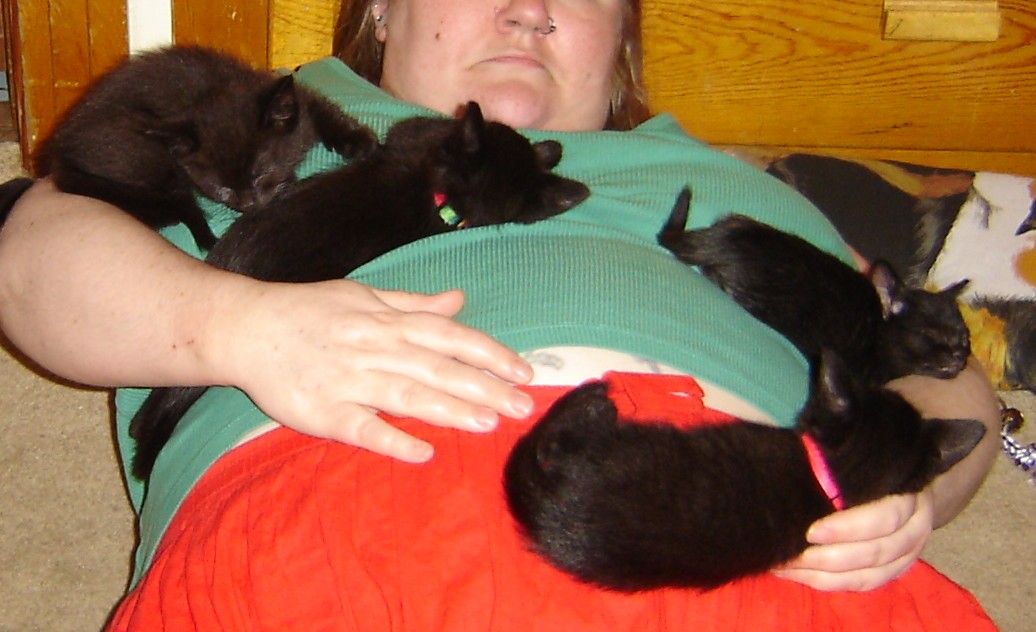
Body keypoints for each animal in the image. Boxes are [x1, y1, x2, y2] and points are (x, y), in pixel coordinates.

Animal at [34, 45, 377, 250]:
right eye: (222, 187)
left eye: (259, 173)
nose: (249, 205)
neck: (212, 90)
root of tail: (60, 153)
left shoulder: (295, 99)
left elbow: (320, 108)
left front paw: (359, 141)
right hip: (147, 152)